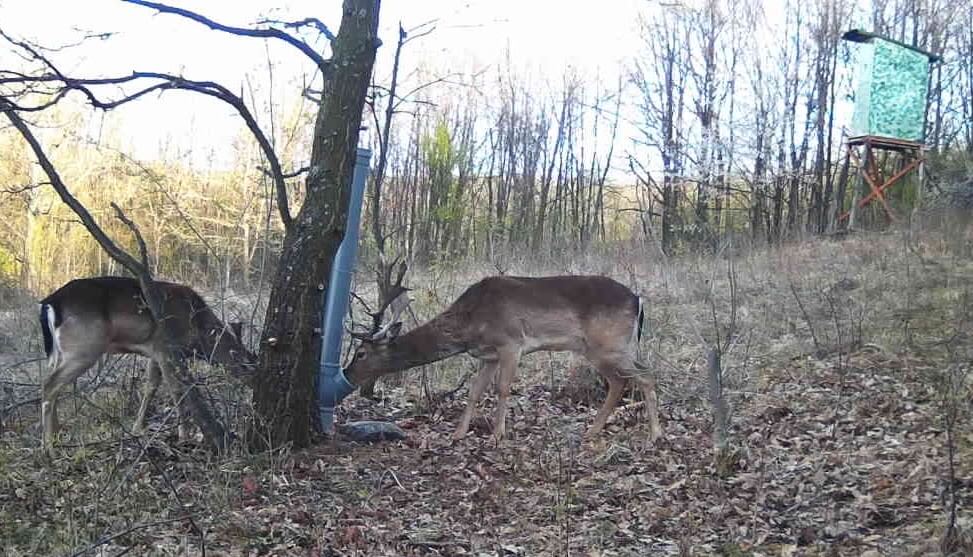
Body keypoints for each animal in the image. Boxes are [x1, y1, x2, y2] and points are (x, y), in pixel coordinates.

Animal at [39, 276, 256, 448]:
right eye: (244, 362)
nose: (252, 383)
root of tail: (51, 303)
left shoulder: (154, 352)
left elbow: (150, 387)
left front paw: (137, 428)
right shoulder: (167, 349)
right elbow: (177, 389)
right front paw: (184, 435)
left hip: (63, 353)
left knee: (53, 385)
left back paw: (58, 436)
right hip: (83, 347)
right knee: (49, 385)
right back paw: (49, 446)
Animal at [344, 274, 660, 438]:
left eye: (360, 353)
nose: (345, 374)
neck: (471, 323)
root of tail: (638, 300)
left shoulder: (511, 343)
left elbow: (503, 388)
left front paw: (498, 434)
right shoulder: (488, 356)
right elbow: (474, 391)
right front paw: (459, 433)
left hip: (608, 344)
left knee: (645, 376)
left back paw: (655, 434)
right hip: (601, 348)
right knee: (620, 382)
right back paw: (592, 431)